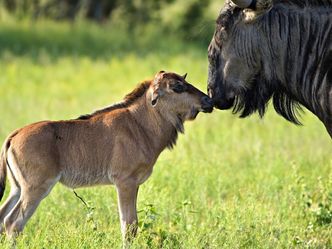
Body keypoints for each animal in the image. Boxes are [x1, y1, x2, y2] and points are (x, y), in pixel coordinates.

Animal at [0, 71, 214, 242]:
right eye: (177, 87)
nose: (208, 101)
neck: (140, 124)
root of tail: (14, 135)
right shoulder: (125, 182)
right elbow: (129, 227)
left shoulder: (133, 184)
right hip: (35, 189)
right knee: (13, 223)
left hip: (17, 188)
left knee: (3, 218)